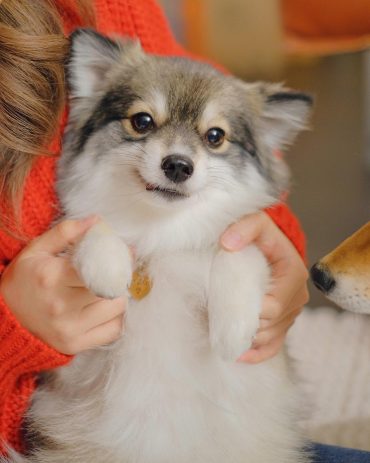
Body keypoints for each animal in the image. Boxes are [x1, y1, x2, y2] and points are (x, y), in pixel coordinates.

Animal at [7, 29, 312, 463]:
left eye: (215, 136)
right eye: (142, 121)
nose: (178, 165)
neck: (161, 234)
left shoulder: (243, 245)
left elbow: (239, 251)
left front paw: (233, 329)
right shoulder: (73, 370)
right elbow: (92, 226)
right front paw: (108, 269)